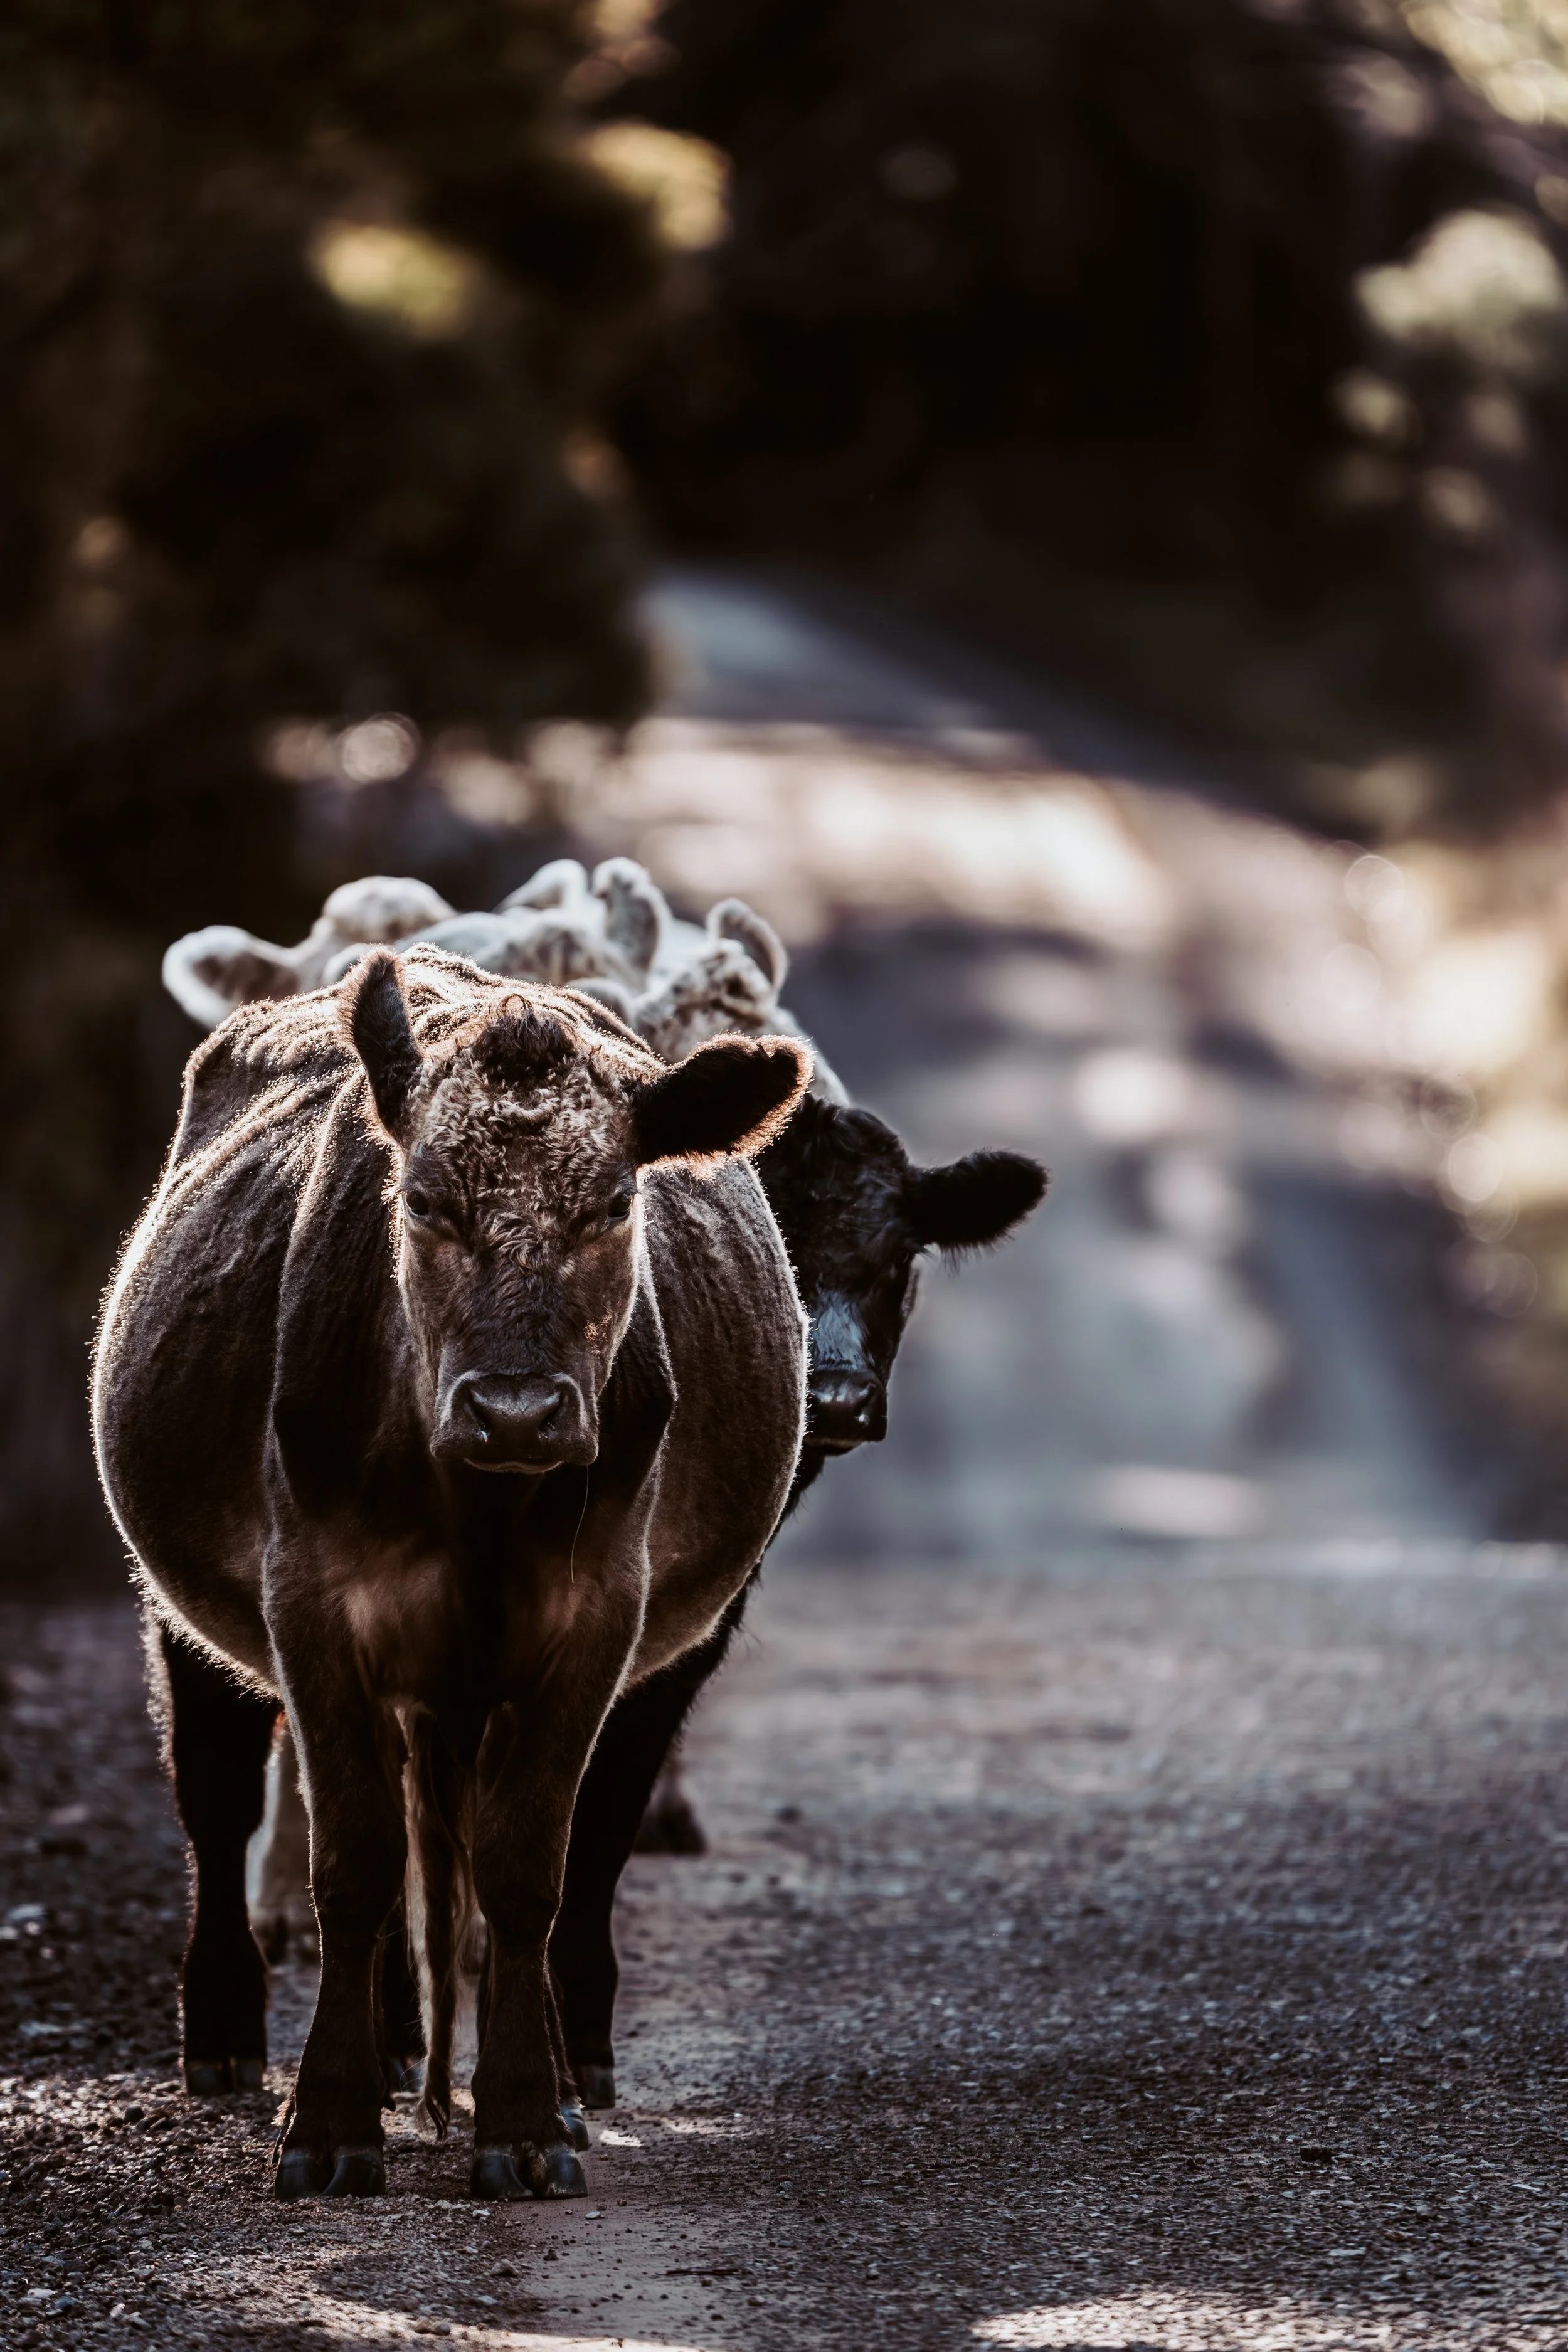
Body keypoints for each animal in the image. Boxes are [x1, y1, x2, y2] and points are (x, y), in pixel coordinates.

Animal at [93, 946, 812, 2200]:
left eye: (614, 1203)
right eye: (423, 1200)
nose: (516, 1409)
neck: (478, 1502)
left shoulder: (599, 1618)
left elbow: (527, 1869)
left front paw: (525, 2119)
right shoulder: (311, 1605)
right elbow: (353, 1862)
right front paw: (329, 2122)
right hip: (192, 1625)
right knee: (221, 1804)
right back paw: (231, 2038)